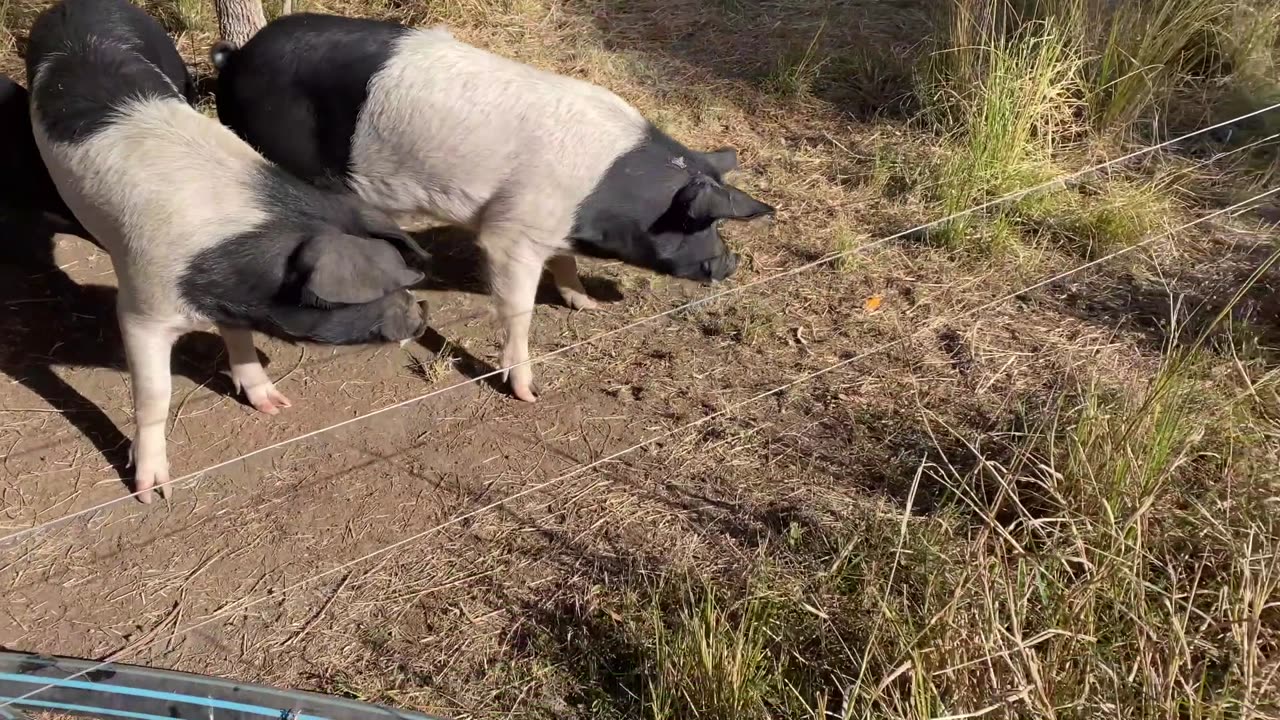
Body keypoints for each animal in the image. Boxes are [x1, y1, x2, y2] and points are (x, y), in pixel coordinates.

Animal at [26, 0, 432, 502]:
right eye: (379, 292)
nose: (423, 314)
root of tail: (75, 6)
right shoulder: (141, 307)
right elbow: (154, 393)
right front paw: (154, 493)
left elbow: (239, 340)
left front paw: (275, 405)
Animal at [209, 12, 775, 403]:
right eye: (697, 221)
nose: (731, 262)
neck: (600, 193)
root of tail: (235, 58)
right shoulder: (509, 234)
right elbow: (517, 308)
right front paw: (527, 392)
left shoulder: (548, 225)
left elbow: (563, 262)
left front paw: (585, 305)